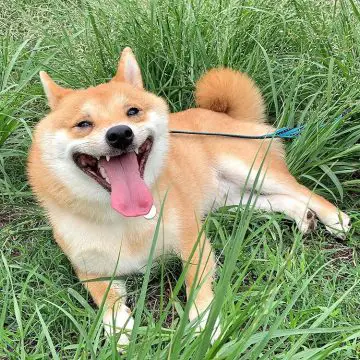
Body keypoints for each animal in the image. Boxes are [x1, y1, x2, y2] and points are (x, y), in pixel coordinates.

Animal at [28, 47, 352, 346]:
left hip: (250, 170)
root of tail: (222, 114)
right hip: (230, 201)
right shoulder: (92, 271)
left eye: (132, 111)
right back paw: (303, 216)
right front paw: (120, 332)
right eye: (83, 124)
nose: (120, 134)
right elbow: (107, 304)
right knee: (279, 200)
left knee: (302, 190)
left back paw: (334, 218)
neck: (125, 219)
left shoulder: (193, 244)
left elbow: (195, 286)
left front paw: (204, 325)